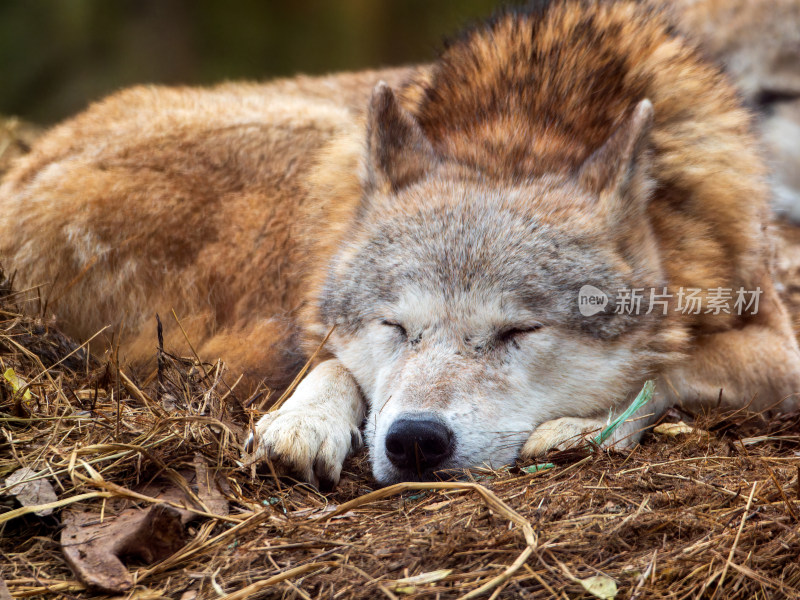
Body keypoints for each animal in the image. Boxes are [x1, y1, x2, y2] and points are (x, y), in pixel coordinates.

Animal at [1, 1, 800, 488]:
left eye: (517, 332)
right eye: (396, 326)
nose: (416, 440)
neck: (532, 124)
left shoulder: (778, 347)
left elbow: (666, 366)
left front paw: (578, 426)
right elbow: (334, 359)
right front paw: (302, 422)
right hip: (328, 149)